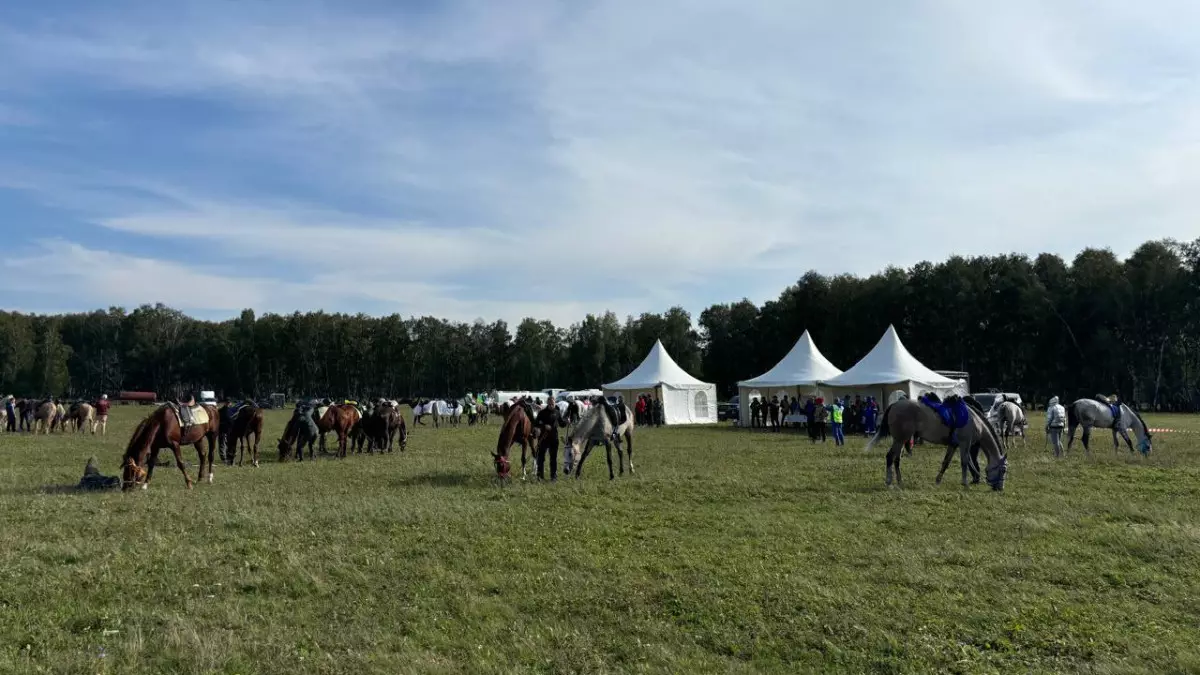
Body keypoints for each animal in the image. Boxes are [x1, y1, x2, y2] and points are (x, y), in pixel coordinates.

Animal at [868, 393, 1008, 487]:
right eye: (1003, 470)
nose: (1000, 488)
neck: (974, 421)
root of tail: (894, 405)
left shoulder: (953, 445)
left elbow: (946, 462)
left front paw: (938, 480)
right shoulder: (965, 444)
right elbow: (964, 462)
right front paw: (965, 483)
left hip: (901, 440)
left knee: (896, 459)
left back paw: (899, 481)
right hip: (900, 439)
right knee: (890, 457)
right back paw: (889, 481)